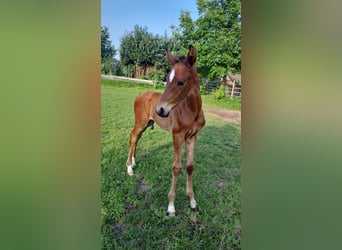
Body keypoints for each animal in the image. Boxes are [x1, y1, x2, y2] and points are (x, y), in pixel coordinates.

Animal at [126, 45, 204, 217]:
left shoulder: (193, 136)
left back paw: (133, 162)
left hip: (147, 123)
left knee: (137, 138)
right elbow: (176, 168)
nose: (160, 110)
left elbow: (190, 166)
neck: (192, 112)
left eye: (181, 82)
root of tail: (139, 94)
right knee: (133, 137)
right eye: (167, 78)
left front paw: (192, 201)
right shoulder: (177, 135)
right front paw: (171, 206)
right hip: (141, 122)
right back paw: (129, 168)